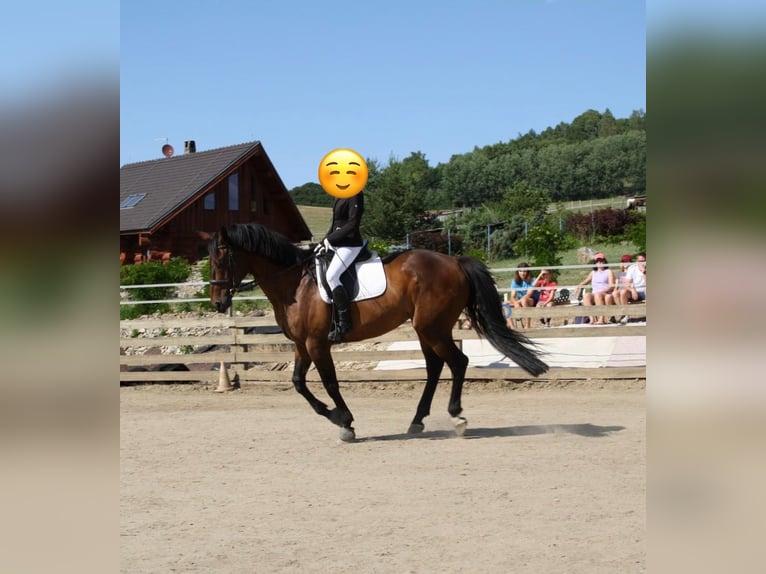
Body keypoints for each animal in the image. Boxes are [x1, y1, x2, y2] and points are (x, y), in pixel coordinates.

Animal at [204, 223, 548, 444]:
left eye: (222, 258)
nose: (218, 303)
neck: (295, 285)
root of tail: (454, 261)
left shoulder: (317, 343)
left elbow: (330, 382)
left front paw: (344, 422)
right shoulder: (302, 344)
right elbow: (299, 383)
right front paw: (333, 415)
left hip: (432, 327)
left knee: (457, 362)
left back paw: (456, 417)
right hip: (426, 328)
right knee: (435, 367)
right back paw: (417, 421)